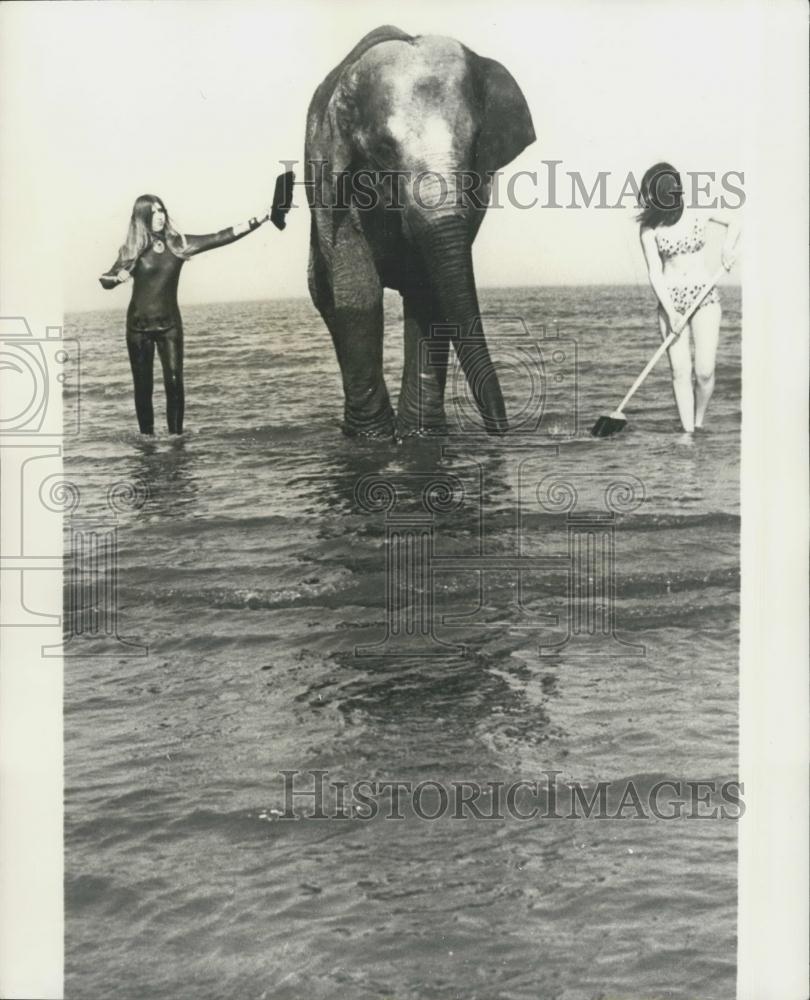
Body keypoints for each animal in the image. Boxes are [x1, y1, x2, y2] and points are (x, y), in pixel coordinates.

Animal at [302, 22, 532, 438]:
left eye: (475, 144)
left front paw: (420, 435)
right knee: (327, 297)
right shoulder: (329, 173)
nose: (500, 429)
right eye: (384, 149)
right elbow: (359, 289)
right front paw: (373, 438)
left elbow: (431, 289)